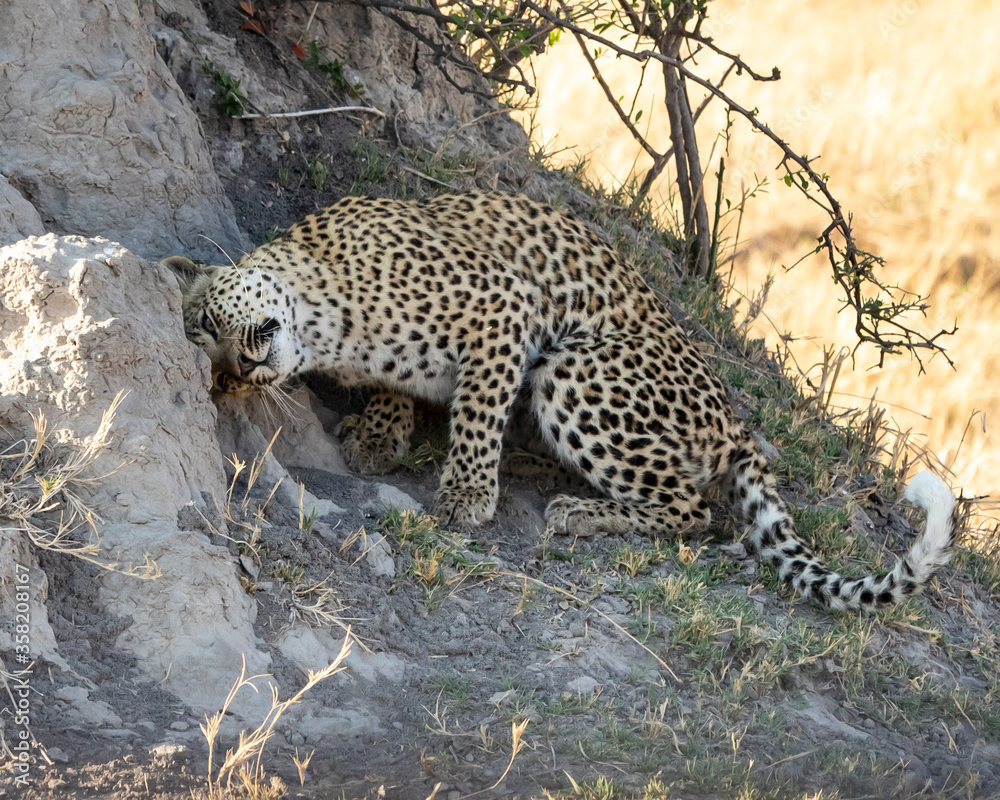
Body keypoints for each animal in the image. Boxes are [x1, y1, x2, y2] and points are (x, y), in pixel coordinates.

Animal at [164, 191, 956, 612]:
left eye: (208, 325)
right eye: (217, 372)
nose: (243, 368)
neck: (327, 321)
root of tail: (734, 422)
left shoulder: (502, 307)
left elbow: (476, 407)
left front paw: (465, 495)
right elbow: (402, 386)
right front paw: (381, 434)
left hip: (572, 369)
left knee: (692, 510)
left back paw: (575, 510)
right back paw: (538, 471)